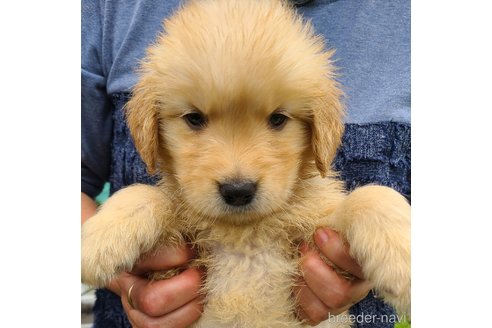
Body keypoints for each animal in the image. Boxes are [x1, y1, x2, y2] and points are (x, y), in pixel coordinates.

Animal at [81, 0, 412, 326]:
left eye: (278, 119)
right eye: (194, 119)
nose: (238, 191)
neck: (244, 236)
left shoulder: (319, 228)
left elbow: (371, 195)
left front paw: (403, 260)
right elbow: (142, 193)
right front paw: (98, 241)